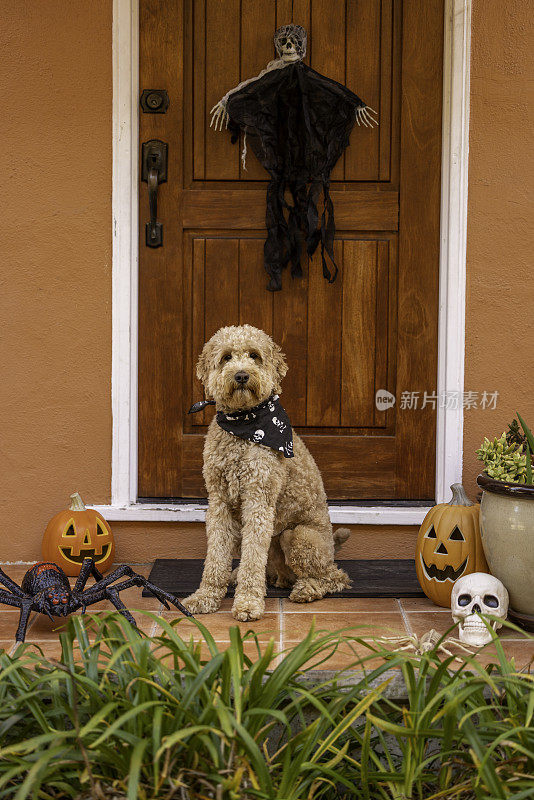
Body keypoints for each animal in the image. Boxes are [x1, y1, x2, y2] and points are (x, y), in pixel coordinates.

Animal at [184, 322, 352, 620]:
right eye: (226, 357)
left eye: (254, 355)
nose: (241, 375)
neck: (242, 425)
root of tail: (332, 547)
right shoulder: (219, 502)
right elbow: (215, 556)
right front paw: (206, 597)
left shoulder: (258, 500)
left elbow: (253, 558)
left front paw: (248, 603)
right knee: (277, 573)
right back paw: (244, 577)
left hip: (297, 536)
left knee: (335, 577)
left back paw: (306, 589)